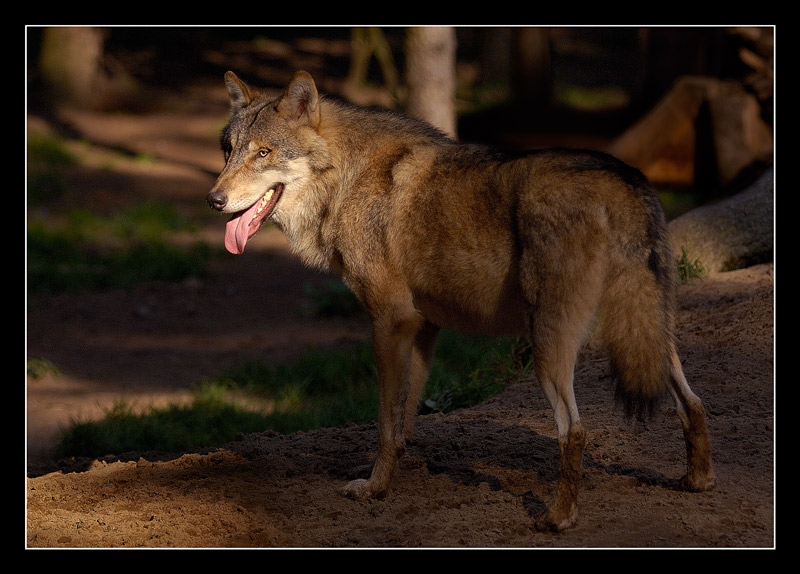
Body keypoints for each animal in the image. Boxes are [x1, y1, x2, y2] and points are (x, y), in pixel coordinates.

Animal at [208, 72, 720, 536]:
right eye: (228, 150)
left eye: (263, 153)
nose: (214, 199)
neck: (345, 178)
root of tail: (625, 180)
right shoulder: (423, 327)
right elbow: (402, 421)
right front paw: (389, 479)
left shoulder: (389, 321)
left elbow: (384, 421)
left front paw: (373, 490)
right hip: (651, 335)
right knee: (693, 402)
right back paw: (698, 481)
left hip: (546, 348)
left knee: (574, 431)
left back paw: (558, 519)